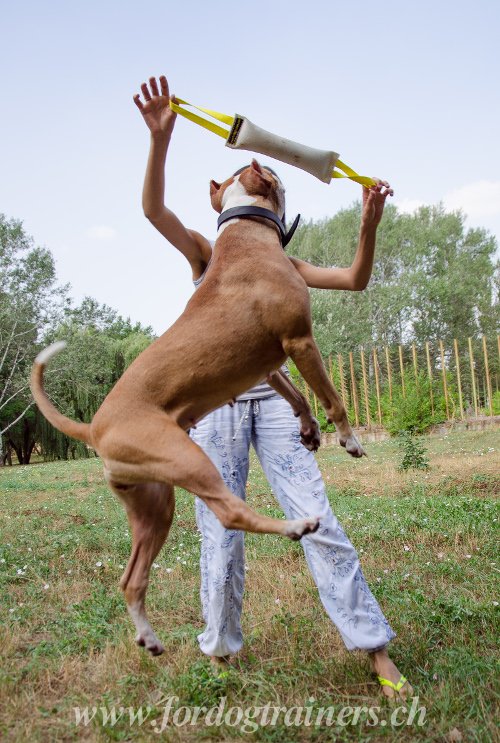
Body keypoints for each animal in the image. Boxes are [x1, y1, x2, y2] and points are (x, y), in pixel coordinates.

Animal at [33, 160, 366, 652]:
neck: (245, 230)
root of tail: (93, 427)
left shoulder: (270, 366)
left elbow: (298, 395)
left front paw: (308, 428)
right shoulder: (300, 341)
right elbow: (330, 396)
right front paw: (348, 437)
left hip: (154, 506)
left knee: (131, 579)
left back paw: (148, 636)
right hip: (190, 462)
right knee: (230, 512)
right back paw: (294, 528)